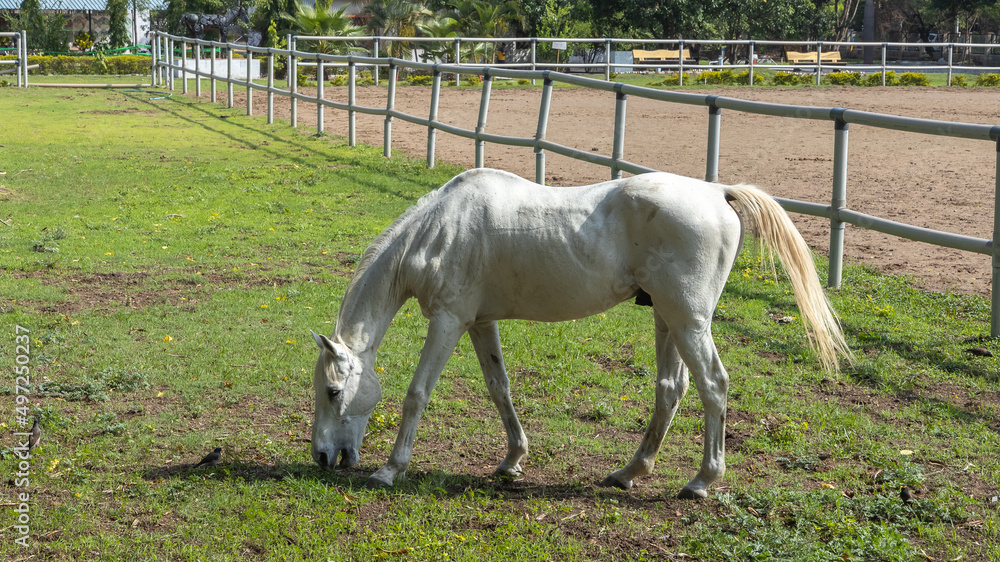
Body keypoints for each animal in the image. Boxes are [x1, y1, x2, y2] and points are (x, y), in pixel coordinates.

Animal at [310, 168, 850, 499]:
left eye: (334, 391)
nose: (321, 457)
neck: (439, 230)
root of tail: (716, 192)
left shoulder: (447, 320)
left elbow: (417, 393)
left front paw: (389, 469)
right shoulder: (480, 322)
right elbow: (500, 389)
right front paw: (512, 460)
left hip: (688, 321)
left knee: (713, 386)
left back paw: (701, 481)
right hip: (668, 319)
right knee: (671, 389)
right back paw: (629, 473)